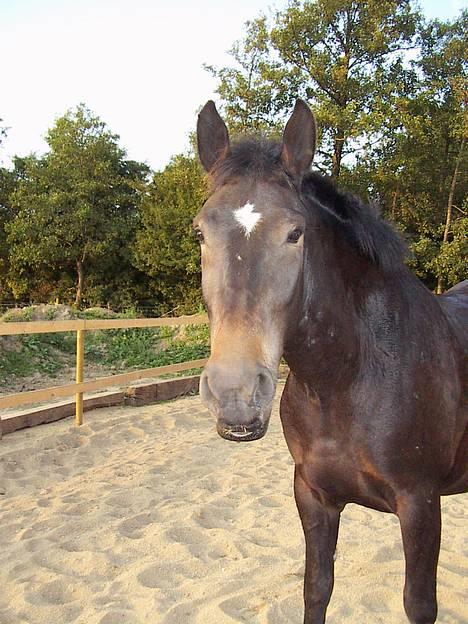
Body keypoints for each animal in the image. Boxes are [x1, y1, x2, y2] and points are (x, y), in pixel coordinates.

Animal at [194, 100, 468, 620]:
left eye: (294, 233)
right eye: (200, 232)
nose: (236, 394)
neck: (349, 380)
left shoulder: (421, 505)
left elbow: (418, 604)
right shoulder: (313, 497)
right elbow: (317, 588)